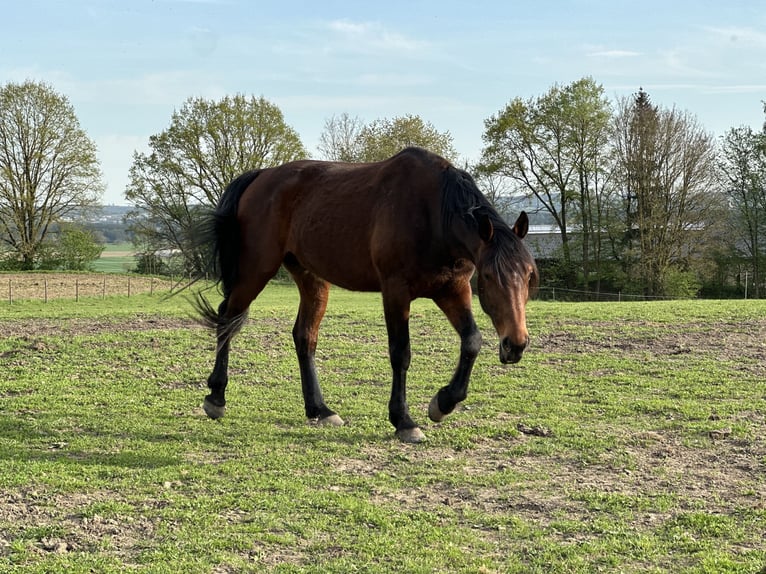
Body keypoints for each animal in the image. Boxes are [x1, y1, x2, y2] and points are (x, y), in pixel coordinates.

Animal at [194, 147, 540, 446]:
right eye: (489, 277)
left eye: (528, 275)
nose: (516, 344)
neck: (434, 214)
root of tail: (262, 175)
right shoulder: (396, 292)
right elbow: (401, 353)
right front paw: (404, 421)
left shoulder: (453, 289)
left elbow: (472, 341)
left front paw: (443, 403)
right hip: (256, 270)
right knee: (227, 319)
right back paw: (216, 398)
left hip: (311, 278)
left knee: (304, 336)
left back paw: (320, 410)